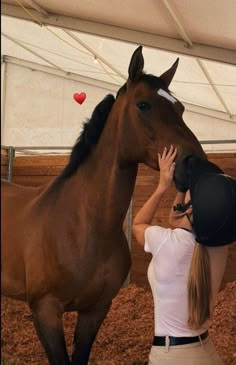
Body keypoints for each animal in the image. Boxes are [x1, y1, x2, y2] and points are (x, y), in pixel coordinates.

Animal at [1, 46, 205, 364]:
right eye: (143, 105)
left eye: (181, 109)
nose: (195, 164)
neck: (82, 226)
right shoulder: (45, 311)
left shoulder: (96, 310)